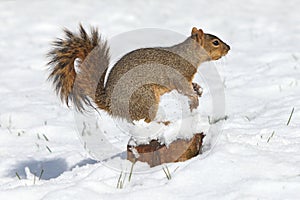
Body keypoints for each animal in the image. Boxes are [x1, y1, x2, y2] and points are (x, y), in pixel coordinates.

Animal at [47, 24, 230, 122]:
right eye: (215, 42)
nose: (228, 48)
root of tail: (110, 103)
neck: (189, 55)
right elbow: (182, 87)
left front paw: (198, 88)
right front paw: (193, 95)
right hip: (145, 97)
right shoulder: (176, 73)